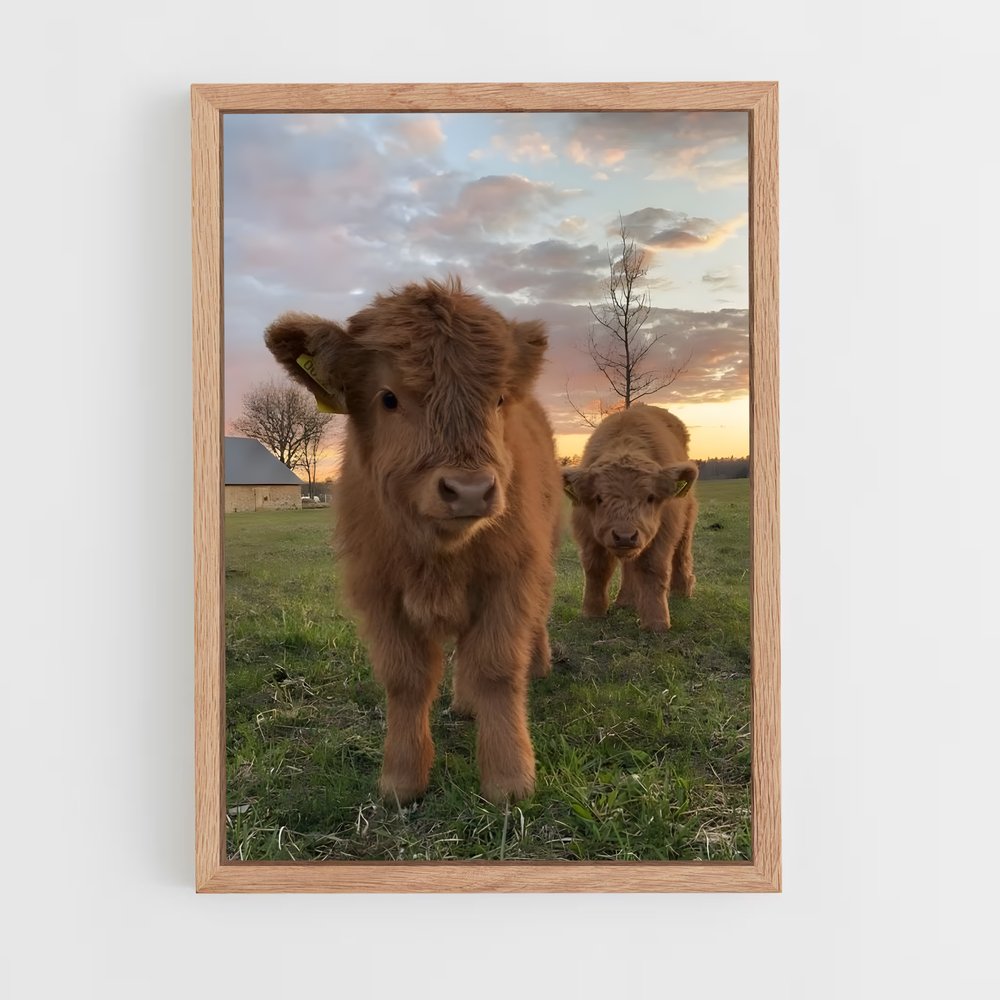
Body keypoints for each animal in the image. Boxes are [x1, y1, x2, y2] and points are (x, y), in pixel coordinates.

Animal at [264, 279, 561, 804]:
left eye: (498, 399)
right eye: (388, 398)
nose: (469, 489)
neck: (438, 554)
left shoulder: (509, 577)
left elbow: (498, 669)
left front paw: (509, 780)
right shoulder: (379, 592)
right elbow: (406, 680)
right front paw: (401, 780)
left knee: (533, 623)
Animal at [562, 405, 699, 632]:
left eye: (650, 497)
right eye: (599, 498)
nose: (625, 536)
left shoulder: (662, 532)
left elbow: (652, 568)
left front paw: (656, 622)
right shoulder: (587, 532)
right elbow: (596, 568)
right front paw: (592, 612)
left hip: (686, 518)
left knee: (681, 550)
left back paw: (682, 590)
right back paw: (626, 600)